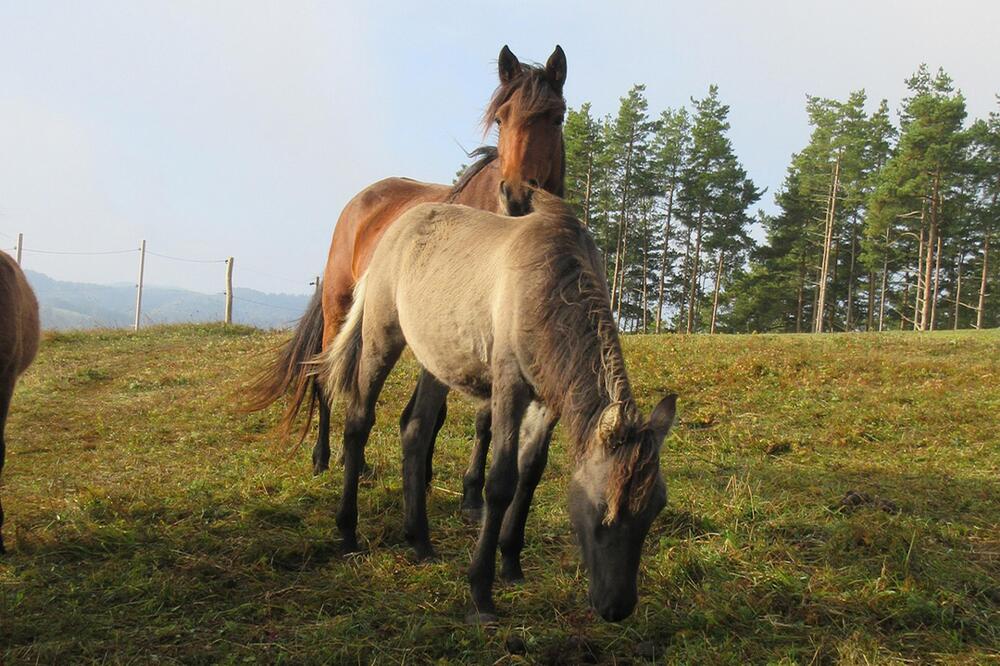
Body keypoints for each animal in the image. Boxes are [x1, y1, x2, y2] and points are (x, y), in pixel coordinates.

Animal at [245, 46, 568, 512]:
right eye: (501, 118)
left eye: (556, 118)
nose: (519, 196)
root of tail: (360, 201)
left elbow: (471, 417)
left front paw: (461, 488)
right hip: (338, 309)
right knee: (326, 377)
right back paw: (323, 458)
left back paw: (356, 462)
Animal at [318, 192, 680, 624]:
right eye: (602, 508)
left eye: (656, 507)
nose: (617, 607)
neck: (550, 285)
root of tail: (398, 227)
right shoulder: (510, 387)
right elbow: (502, 481)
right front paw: (481, 591)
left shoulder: (548, 400)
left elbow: (530, 472)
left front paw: (511, 561)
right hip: (380, 338)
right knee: (358, 423)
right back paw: (347, 531)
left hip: (435, 363)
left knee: (416, 432)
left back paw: (420, 541)